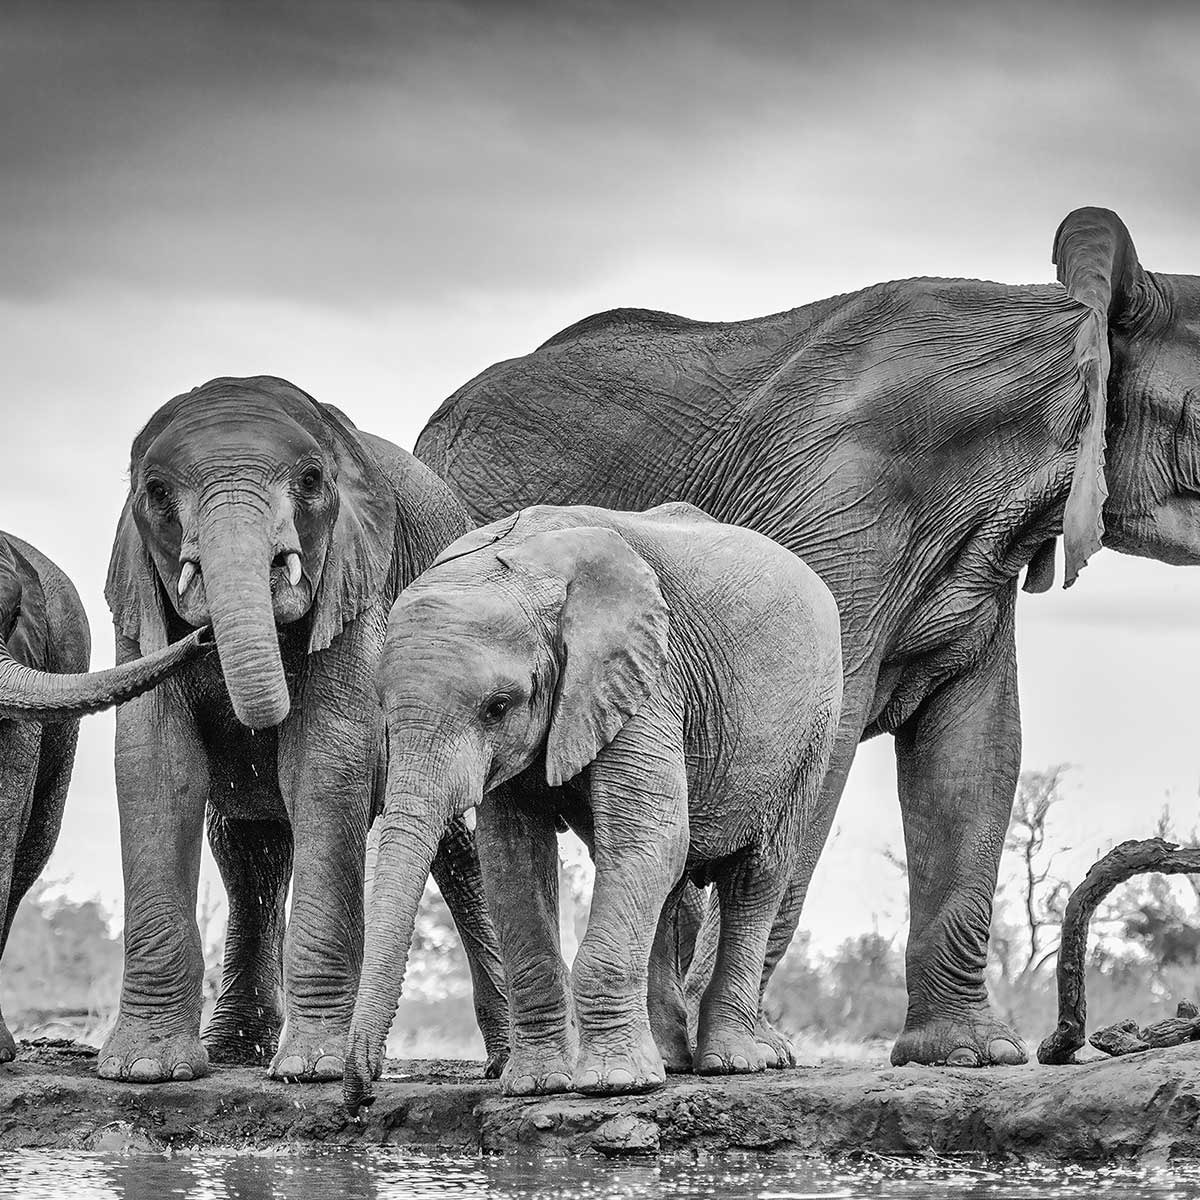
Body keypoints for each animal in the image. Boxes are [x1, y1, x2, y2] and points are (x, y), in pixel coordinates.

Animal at [94, 376, 506, 1089]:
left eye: (312, 481)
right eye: (156, 494)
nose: (204, 637)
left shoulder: (355, 581)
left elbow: (324, 759)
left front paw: (313, 1071)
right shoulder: (138, 603)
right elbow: (156, 764)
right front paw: (144, 1070)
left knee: (461, 852)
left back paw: (508, 1063)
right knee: (247, 851)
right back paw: (234, 1052)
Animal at [340, 499, 844, 1104]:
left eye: (497, 707)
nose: (361, 1097)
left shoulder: (647, 676)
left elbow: (649, 834)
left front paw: (612, 1085)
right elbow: (512, 858)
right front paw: (535, 1085)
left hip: (813, 730)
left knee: (755, 875)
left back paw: (732, 1063)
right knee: (667, 881)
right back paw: (671, 1062)